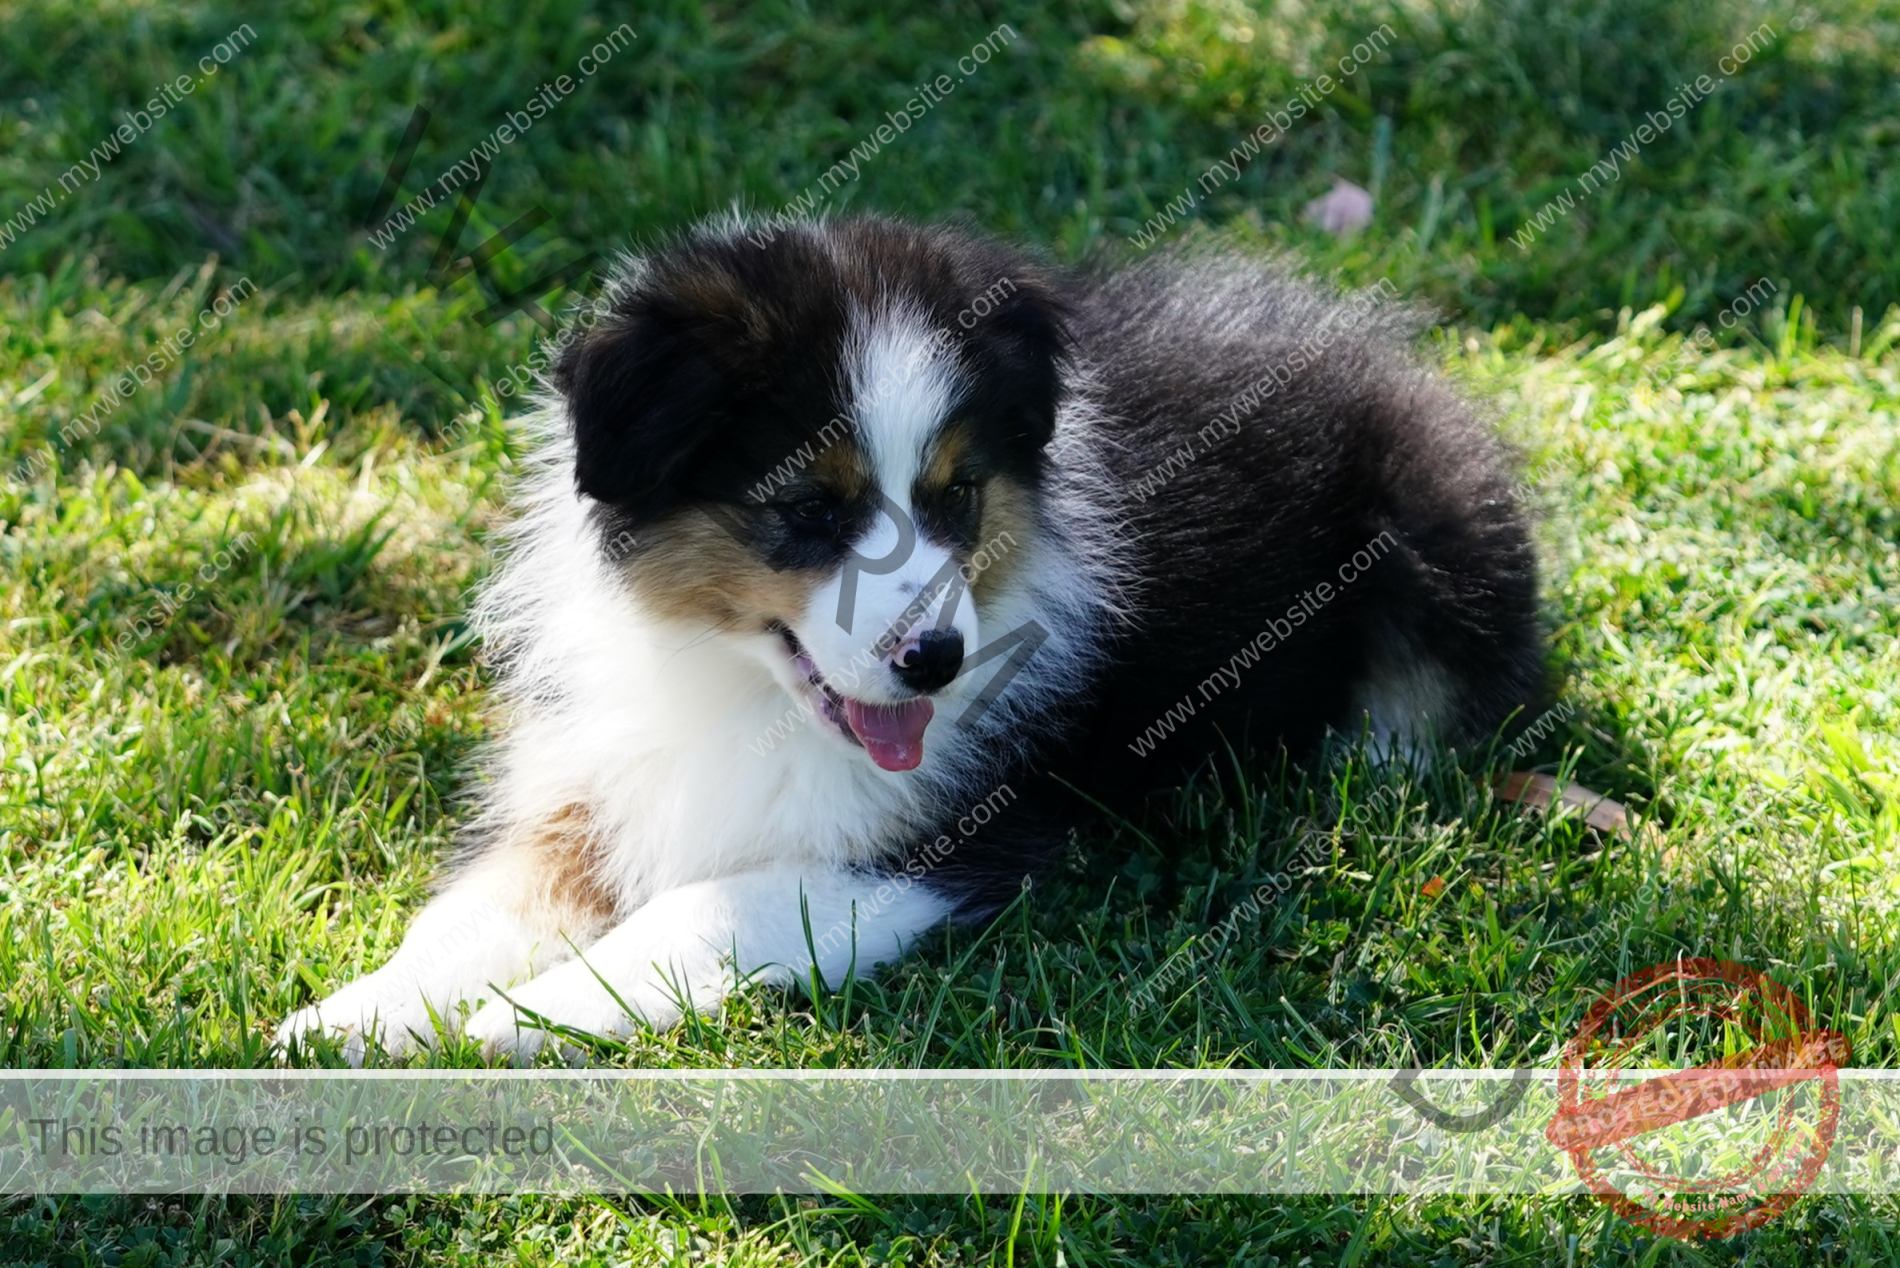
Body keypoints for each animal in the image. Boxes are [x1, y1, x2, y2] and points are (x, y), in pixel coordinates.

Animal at [277, 215, 1542, 1064]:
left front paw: (514, 1019)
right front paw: (357, 1014)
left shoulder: (955, 838)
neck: (744, 687)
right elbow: (477, 907)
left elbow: (712, 907)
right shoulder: (595, 782)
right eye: (809, 505)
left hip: (1438, 516)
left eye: (956, 495)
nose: (934, 661)